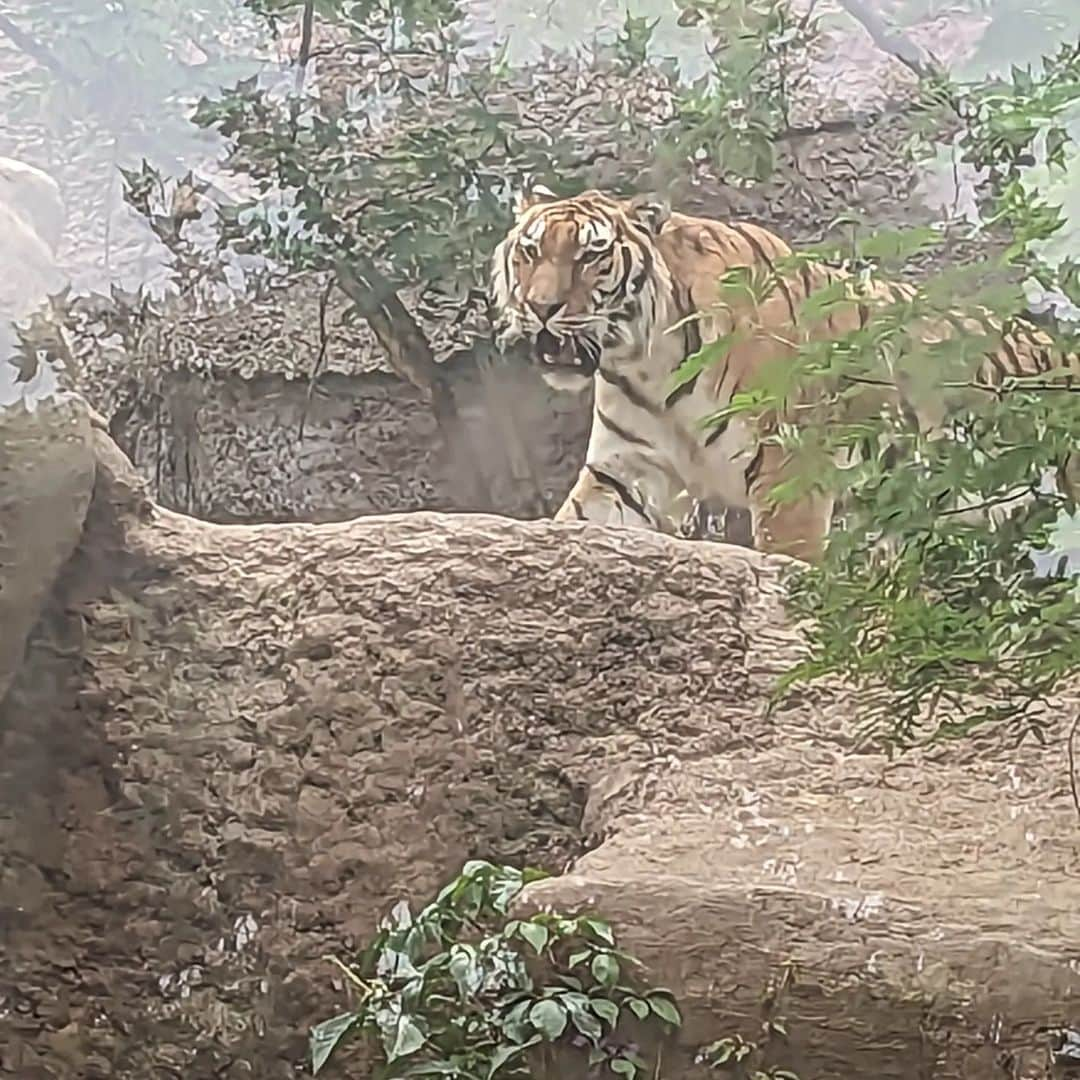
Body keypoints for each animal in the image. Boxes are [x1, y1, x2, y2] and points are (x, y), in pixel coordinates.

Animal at [492, 185, 1080, 561]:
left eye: (591, 256)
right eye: (530, 252)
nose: (540, 307)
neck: (646, 363)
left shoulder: (792, 459)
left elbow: (788, 555)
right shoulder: (630, 468)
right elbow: (577, 524)